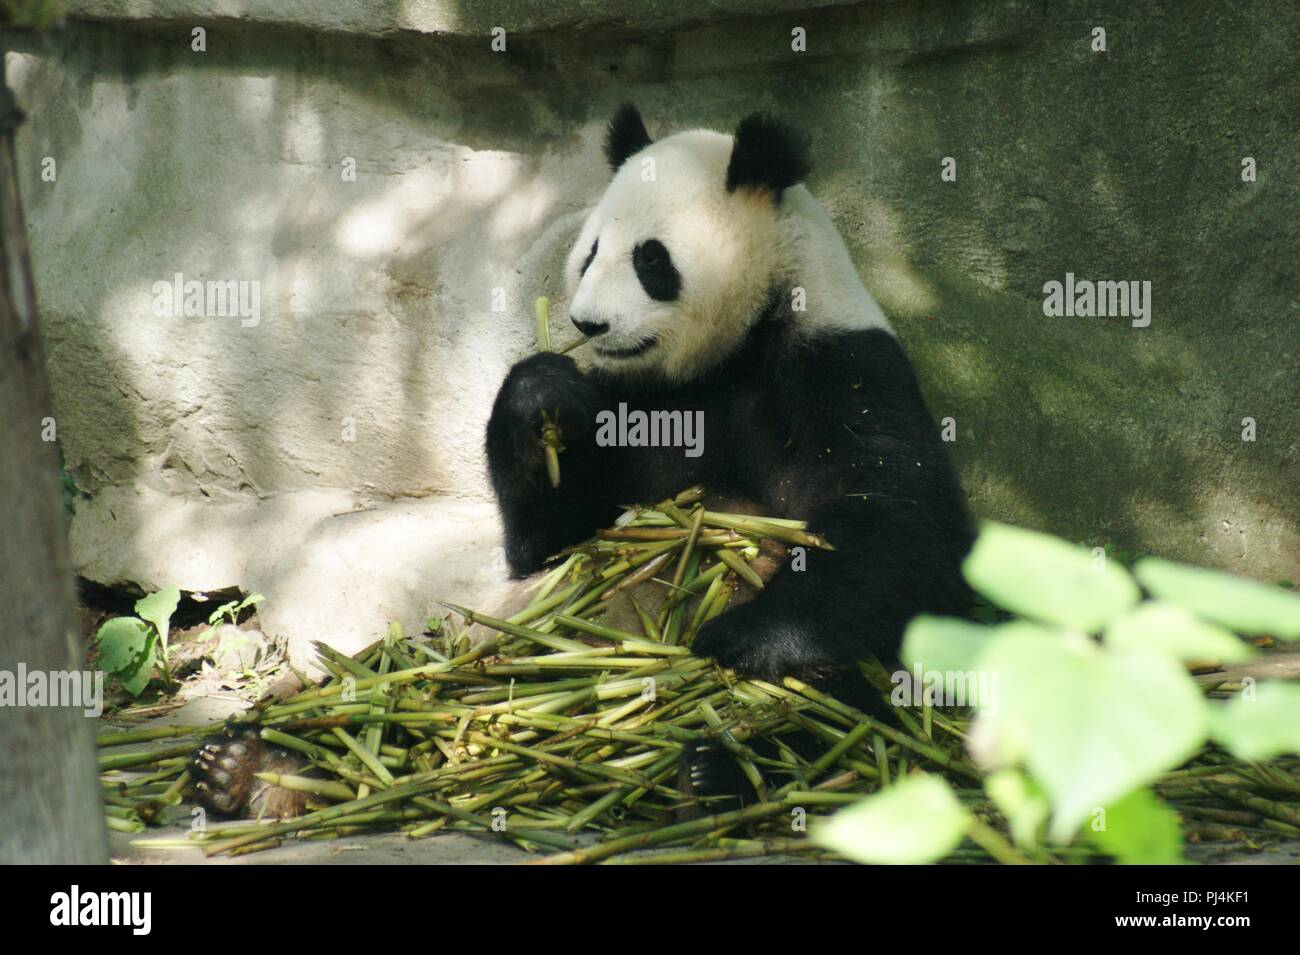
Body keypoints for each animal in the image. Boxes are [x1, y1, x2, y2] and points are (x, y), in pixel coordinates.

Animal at [189, 102, 977, 821]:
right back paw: (252, 765)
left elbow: (898, 528)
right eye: (592, 251)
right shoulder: (633, 403)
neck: (726, 356)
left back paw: (714, 772)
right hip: (477, 650)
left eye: (652, 259)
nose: (588, 323)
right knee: (395, 679)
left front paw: (737, 637)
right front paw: (542, 393)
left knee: (835, 711)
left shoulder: (840, 367)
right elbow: (551, 540)